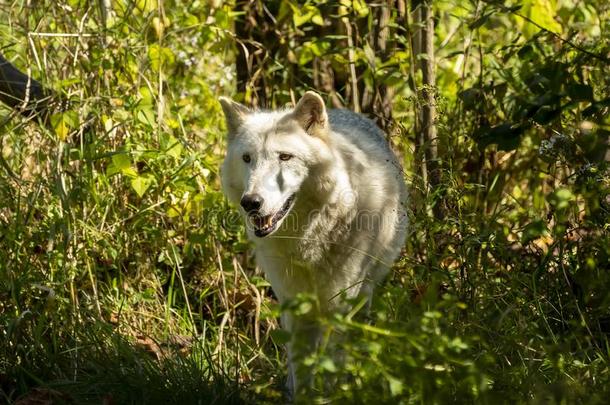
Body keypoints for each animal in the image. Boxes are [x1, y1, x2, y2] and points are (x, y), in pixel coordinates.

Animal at [216, 90, 406, 394]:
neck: (307, 241)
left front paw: (330, 395)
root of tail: (346, 111)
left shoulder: (338, 306)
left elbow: (330, 367)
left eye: (285, 157)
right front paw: (302, 395)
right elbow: (301, 368)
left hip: (363, 294)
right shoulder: (294, 304)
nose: (251, 202)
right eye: (247, 158)